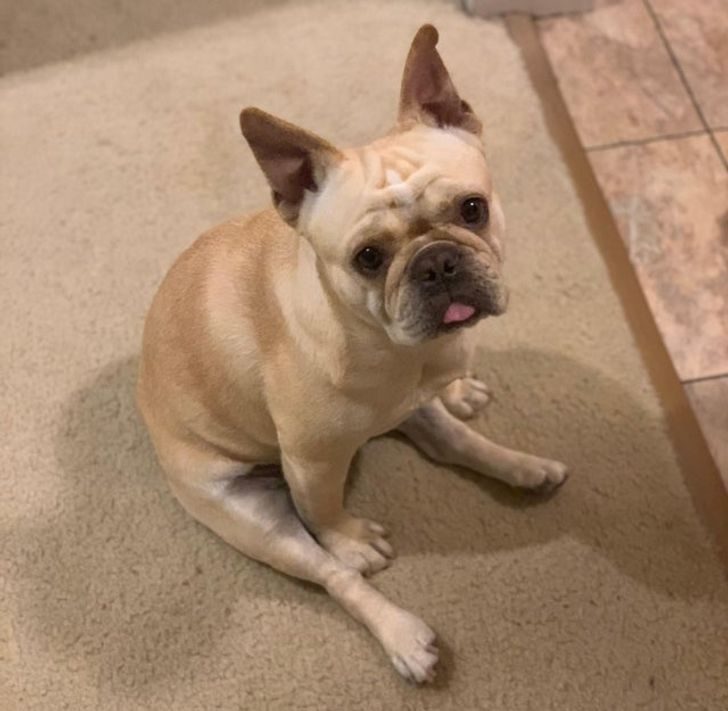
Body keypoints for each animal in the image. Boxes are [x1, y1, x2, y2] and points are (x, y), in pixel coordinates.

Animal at [137, 25, 567, 684]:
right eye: (368, 257)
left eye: (473, 209)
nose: (437, 262)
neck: (400, 351)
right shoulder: (313, 464)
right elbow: (327, 515)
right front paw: (351, 538)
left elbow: (454, 415)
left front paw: (466, 394)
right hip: (251, 517)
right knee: (331, 574)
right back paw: (402, 636)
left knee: (451, 443)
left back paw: (521, 467)